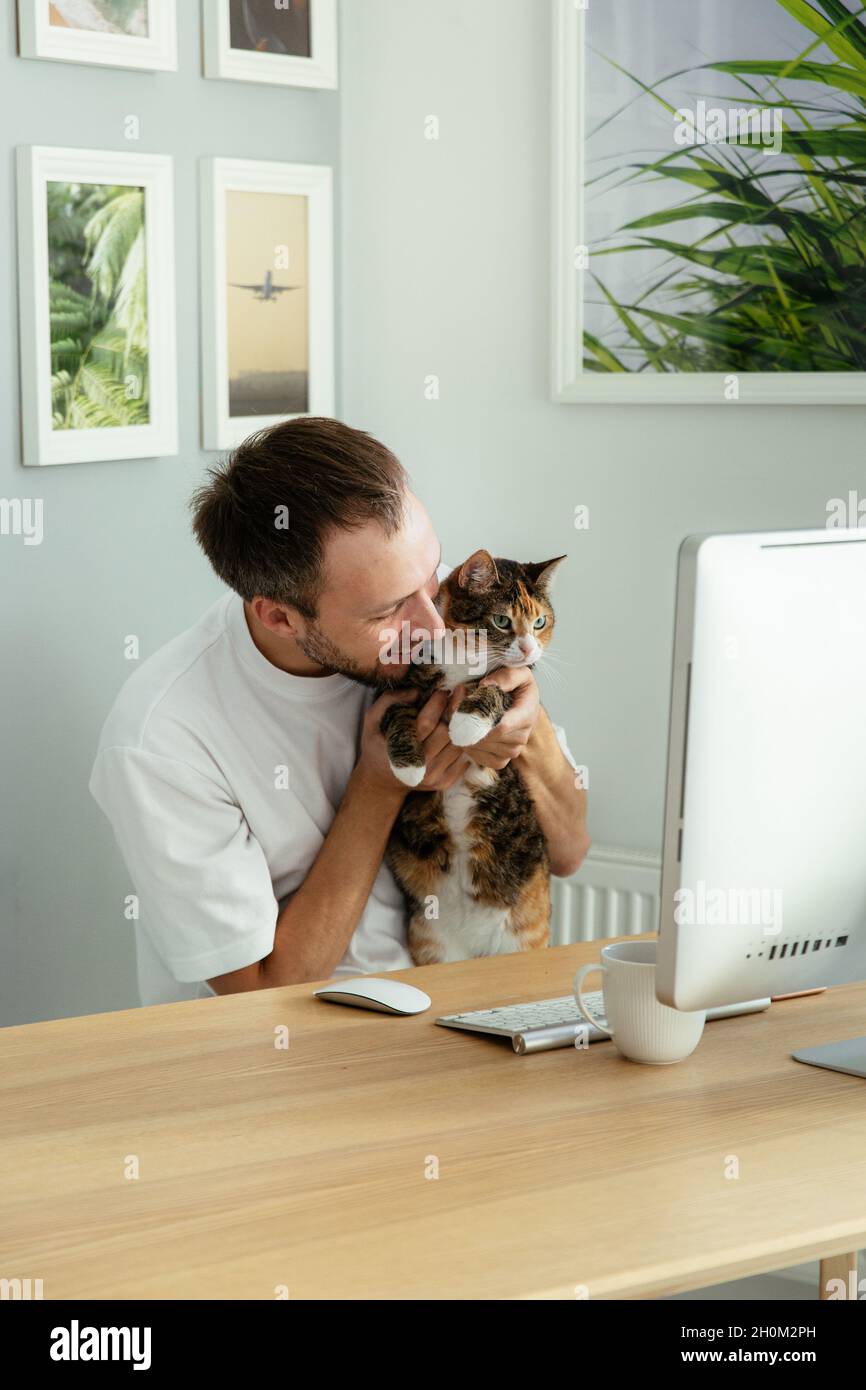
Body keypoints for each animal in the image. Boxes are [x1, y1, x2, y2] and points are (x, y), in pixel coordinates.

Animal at [378, 547, 561, 961]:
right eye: (501, 620)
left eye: (539, 621)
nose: (529, 647)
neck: (463, 659)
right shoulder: (399, 689)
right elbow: (397, 715)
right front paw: (409, 768)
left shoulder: (518, 681)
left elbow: (495, 689)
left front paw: (466, 724)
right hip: (431, 941)